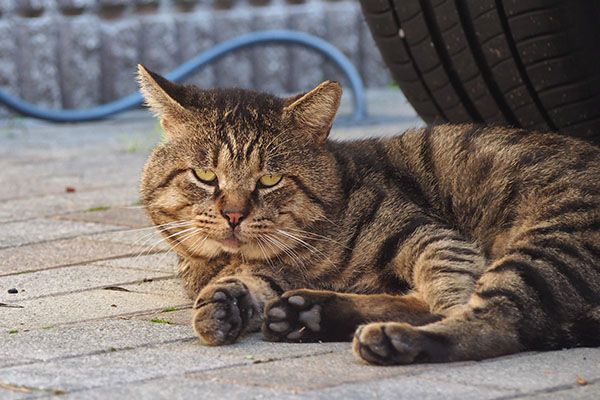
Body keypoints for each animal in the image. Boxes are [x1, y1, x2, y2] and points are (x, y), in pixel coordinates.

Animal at [138, 63, 600, 366]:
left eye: (269, 179)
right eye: (205, 175)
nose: (234, 214)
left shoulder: (432, 237)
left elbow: (448, 293)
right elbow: (246, 283)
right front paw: (223, 302)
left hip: (550, 241)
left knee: (496, 322)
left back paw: (392, 339)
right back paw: (308, 313)